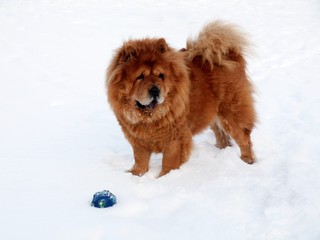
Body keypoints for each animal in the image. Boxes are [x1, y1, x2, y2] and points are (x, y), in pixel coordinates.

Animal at [106, 21, 256, 176]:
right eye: (140, 77)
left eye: (161, 75)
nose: (155, 90)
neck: (150, 118)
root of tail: (230, 54)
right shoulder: (138, 141)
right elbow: (140, 160)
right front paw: (135, 174)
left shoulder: (174, 140)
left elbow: (169, 163)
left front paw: (165, 177)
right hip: (212, 115)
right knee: (221, 134)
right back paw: (221, 149)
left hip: (231, 113)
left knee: (244, 138)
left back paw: (247, 160)